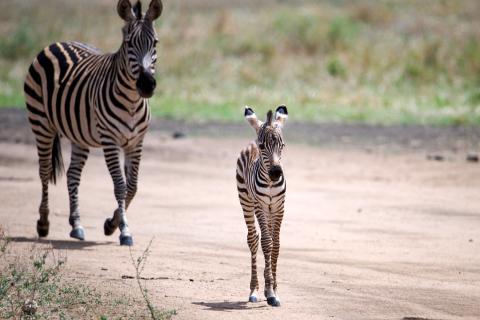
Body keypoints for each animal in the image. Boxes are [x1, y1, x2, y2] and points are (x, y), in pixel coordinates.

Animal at [23, 0, 163, 246]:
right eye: (128, 43)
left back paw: (76, 225)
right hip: (40, 122)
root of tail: (57, 42)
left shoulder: (136, 141)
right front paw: (124, 231)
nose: (146, 84)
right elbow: (120, 186)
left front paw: (111, 224)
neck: (132, 102)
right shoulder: (110, 140)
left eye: (154, 42)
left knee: (72, 174)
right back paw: (43, 223)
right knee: (44, 171)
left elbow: (132, 186)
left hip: (79, 134)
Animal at [237, 105, 288, 308]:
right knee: (253, 239)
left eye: (282, 146)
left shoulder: (279, 207)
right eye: (262, 147)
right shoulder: (260, 205)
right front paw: (270, 292)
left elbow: (276, 245)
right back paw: (254, 291)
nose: (275, 173)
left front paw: (274, 289)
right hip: (246, 200)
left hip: (269, 209)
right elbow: (266, 243)